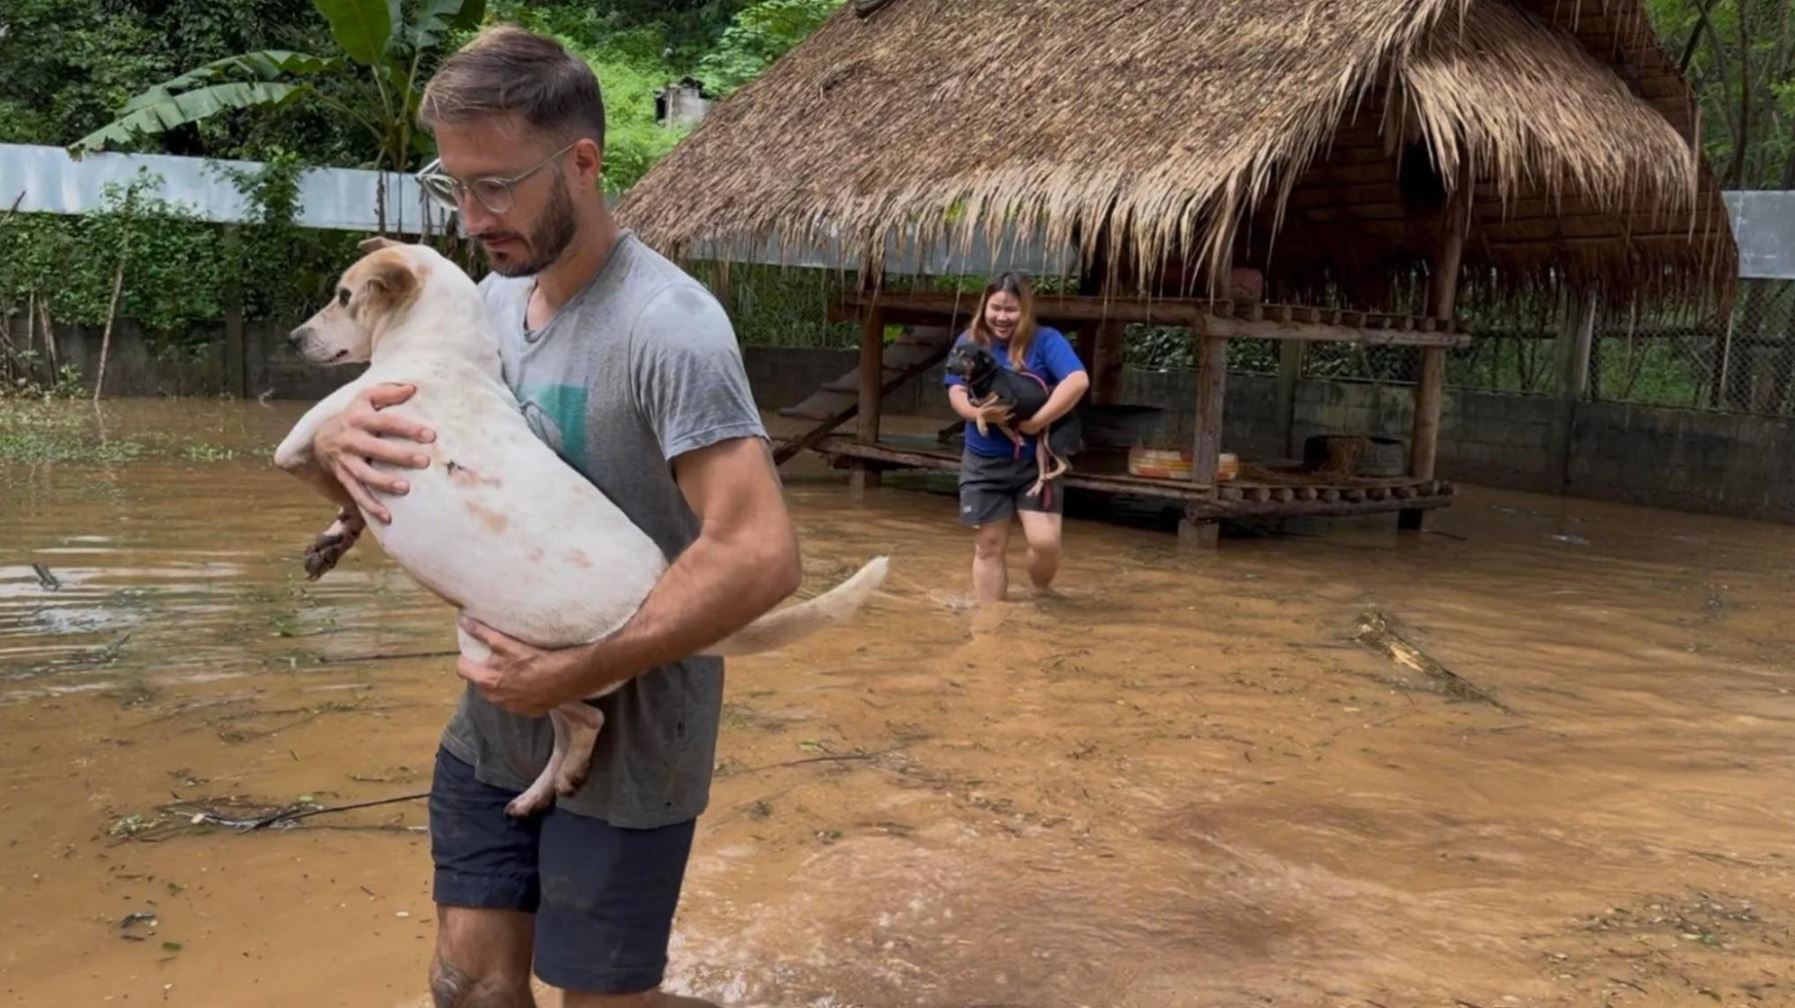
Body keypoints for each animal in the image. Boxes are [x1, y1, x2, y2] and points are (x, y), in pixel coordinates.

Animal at [274, 236, 890, 817]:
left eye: (344, 297)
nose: (292, 339)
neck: (443, 346)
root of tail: (652, 596)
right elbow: (351, 501)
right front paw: (333, 540)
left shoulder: (304, 442)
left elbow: (326, 472)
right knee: (571, 727)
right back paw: (539, 793)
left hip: (494, 657)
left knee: (585, 720)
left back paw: (556, 780)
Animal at [947, 338, 1084, 491]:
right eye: (952, 354)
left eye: (965, 355)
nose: (947, 367)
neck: (983, 377)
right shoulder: (998, 410)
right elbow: (997, 422)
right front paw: (1015, 438)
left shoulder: (1008, 399)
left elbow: (983, 411)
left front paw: (982, 428)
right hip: (1041, 449)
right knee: (1050, 468)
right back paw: (1037, 487)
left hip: (1054, 440)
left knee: (1066, 465)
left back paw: (1048, 476)